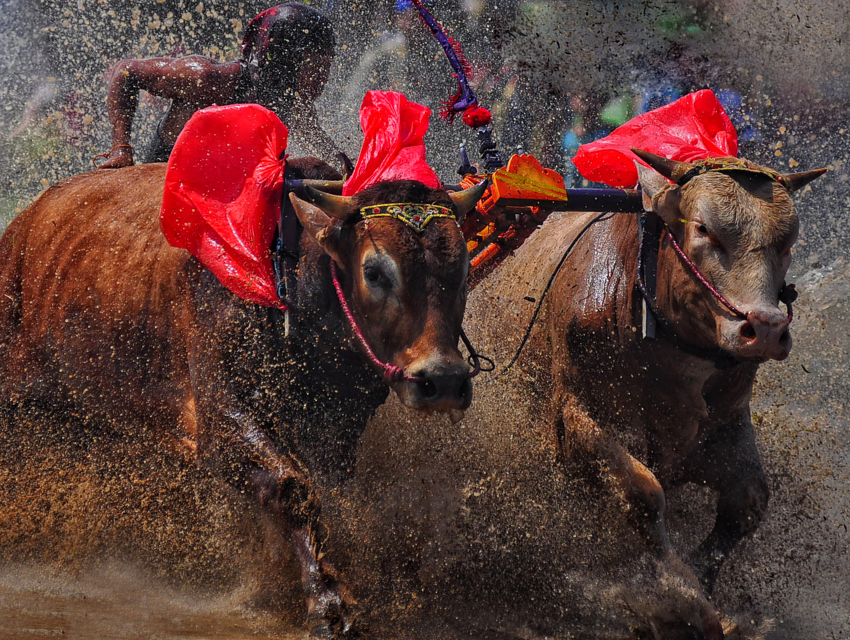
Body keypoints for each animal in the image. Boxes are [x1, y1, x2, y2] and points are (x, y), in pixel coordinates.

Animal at [0, 157, 487, 639]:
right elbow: (291, 486)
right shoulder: (219, 418)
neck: (286, 280)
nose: (443, 380)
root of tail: (22, 227)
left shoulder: (337, 428)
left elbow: (328, 493)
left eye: (463, 269)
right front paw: (327, 600)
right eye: (375, 271)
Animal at [471, 151, 824, 597]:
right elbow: (643, 492)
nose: (765, 329)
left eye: (788, 242)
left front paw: (702, 581)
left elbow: (748, 501)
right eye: (703, 228)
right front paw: (680, 590)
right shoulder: (577, 417)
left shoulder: (726, 422)